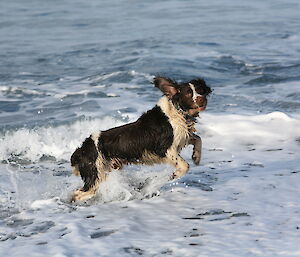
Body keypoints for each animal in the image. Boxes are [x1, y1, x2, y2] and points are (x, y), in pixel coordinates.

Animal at [70, 76, 212, 200]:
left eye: (200, 91)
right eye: (188, 93)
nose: (202, 100)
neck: (177, 112)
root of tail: (81, 150)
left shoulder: (183, 137)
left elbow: (198, 139)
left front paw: (196, 157)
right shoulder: (165, 148)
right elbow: (184, 165)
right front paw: (175, 174)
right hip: (95, 175)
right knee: (78, 194)